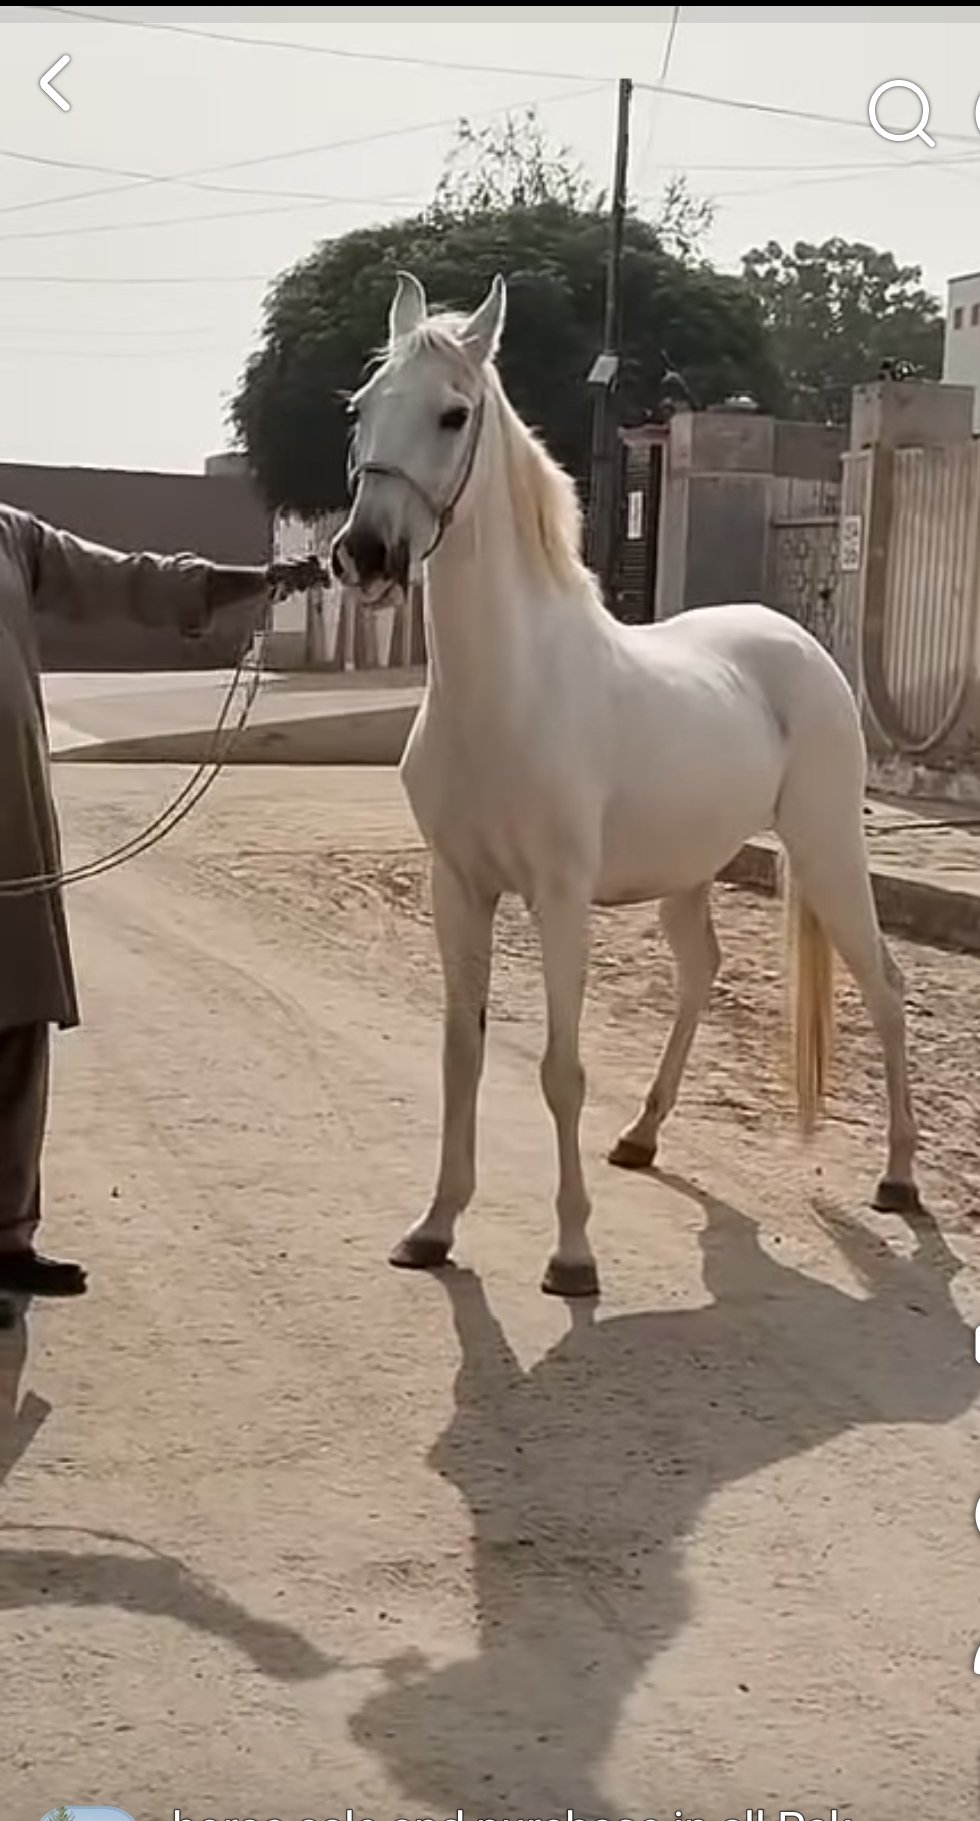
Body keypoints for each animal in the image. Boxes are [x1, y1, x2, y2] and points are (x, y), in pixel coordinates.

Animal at [330, 269, 919, 1299]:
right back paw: (643, 1135)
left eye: (453, 413)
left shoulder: (560, 897)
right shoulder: (458, 887)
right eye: (363, 407)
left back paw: (897, 1178)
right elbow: (460, 1053)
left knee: (885, 989)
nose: (364, 556)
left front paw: (572, 1255)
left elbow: (560, 1068)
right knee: (701, 972)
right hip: (690, 873)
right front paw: (435, 1225)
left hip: (829, 853)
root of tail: (800, 643)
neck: (509, 688)